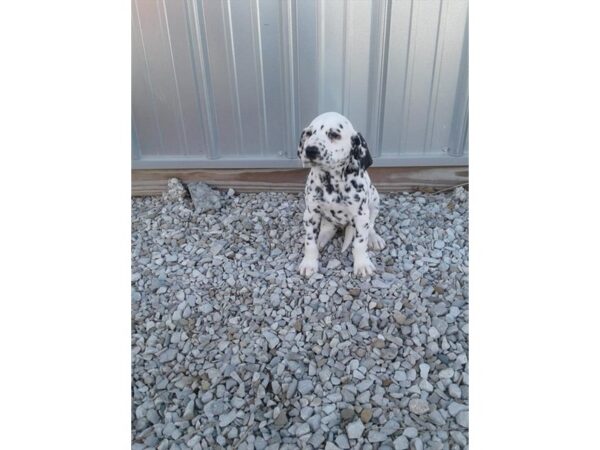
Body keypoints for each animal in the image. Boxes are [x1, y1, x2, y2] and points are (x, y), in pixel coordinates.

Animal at [298, 110, 386, 276]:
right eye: (309, 133)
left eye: (334, 134)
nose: (310, 150)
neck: (331, 182)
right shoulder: (311, 213)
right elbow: (309, 242)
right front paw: (309, 262)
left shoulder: (360, 215)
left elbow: (360, 243)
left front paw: (362, 263)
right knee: (328, 227)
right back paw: (322, 238)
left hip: (374, 202)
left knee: (370, 225)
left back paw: (374, 238)